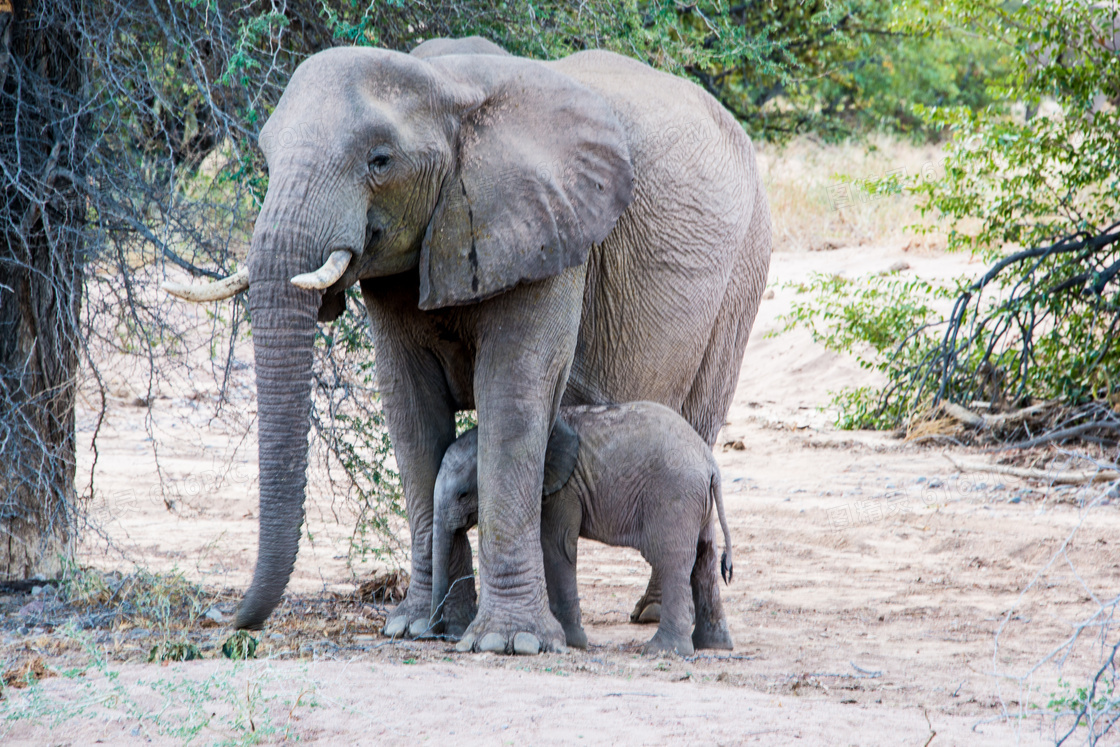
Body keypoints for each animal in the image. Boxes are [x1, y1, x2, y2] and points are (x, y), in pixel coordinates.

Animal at [434, 403, 734, 654]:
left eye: (463, 494)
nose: (434, 634)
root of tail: (710, 464)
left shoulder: (563, 490)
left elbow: (557, 548)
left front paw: (570, 642)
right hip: (698, 501)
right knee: (704, 559)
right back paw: (713, 645)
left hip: (675, 496)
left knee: (672, 560)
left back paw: (663, 650)